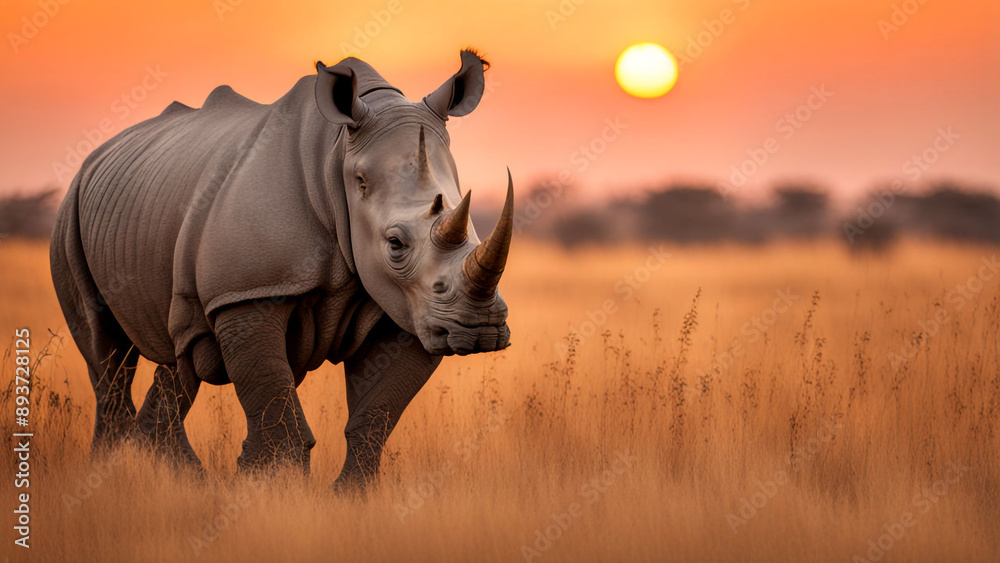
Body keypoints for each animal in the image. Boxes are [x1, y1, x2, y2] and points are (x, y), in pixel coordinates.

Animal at [49, 50, 513, 488]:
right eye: (395, 245)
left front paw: (351, 498)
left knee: (179, 357)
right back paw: (107, 480)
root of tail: (95, 157)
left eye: (474, 236)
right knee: (107, 356)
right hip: (70, 212)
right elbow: (277, 410)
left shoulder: (412, 312)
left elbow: (375, 416)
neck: (339, 158)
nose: (481, 327)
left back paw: (187, 483)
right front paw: (271, 491)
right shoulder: (246, 293)